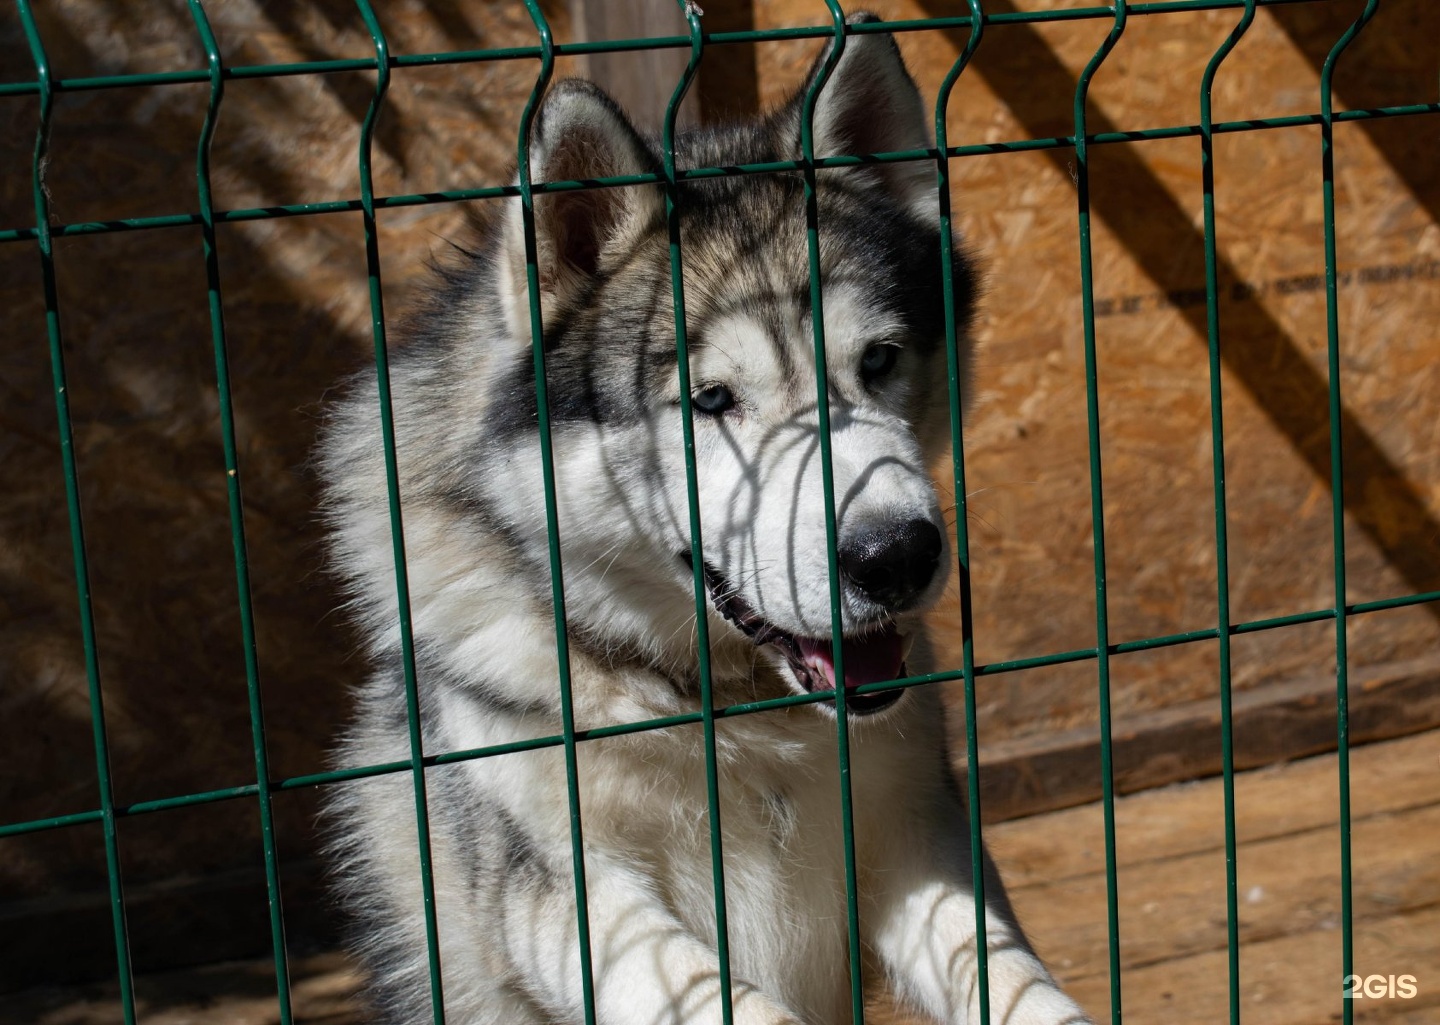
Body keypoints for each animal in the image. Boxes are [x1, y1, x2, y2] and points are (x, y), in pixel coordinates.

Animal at [321, 14, 1082, 1025]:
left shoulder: (914, 832)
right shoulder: (575, 897)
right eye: (712, 399)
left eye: (879, 360)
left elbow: (1015, 977)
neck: (737, 716)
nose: (897, 555)